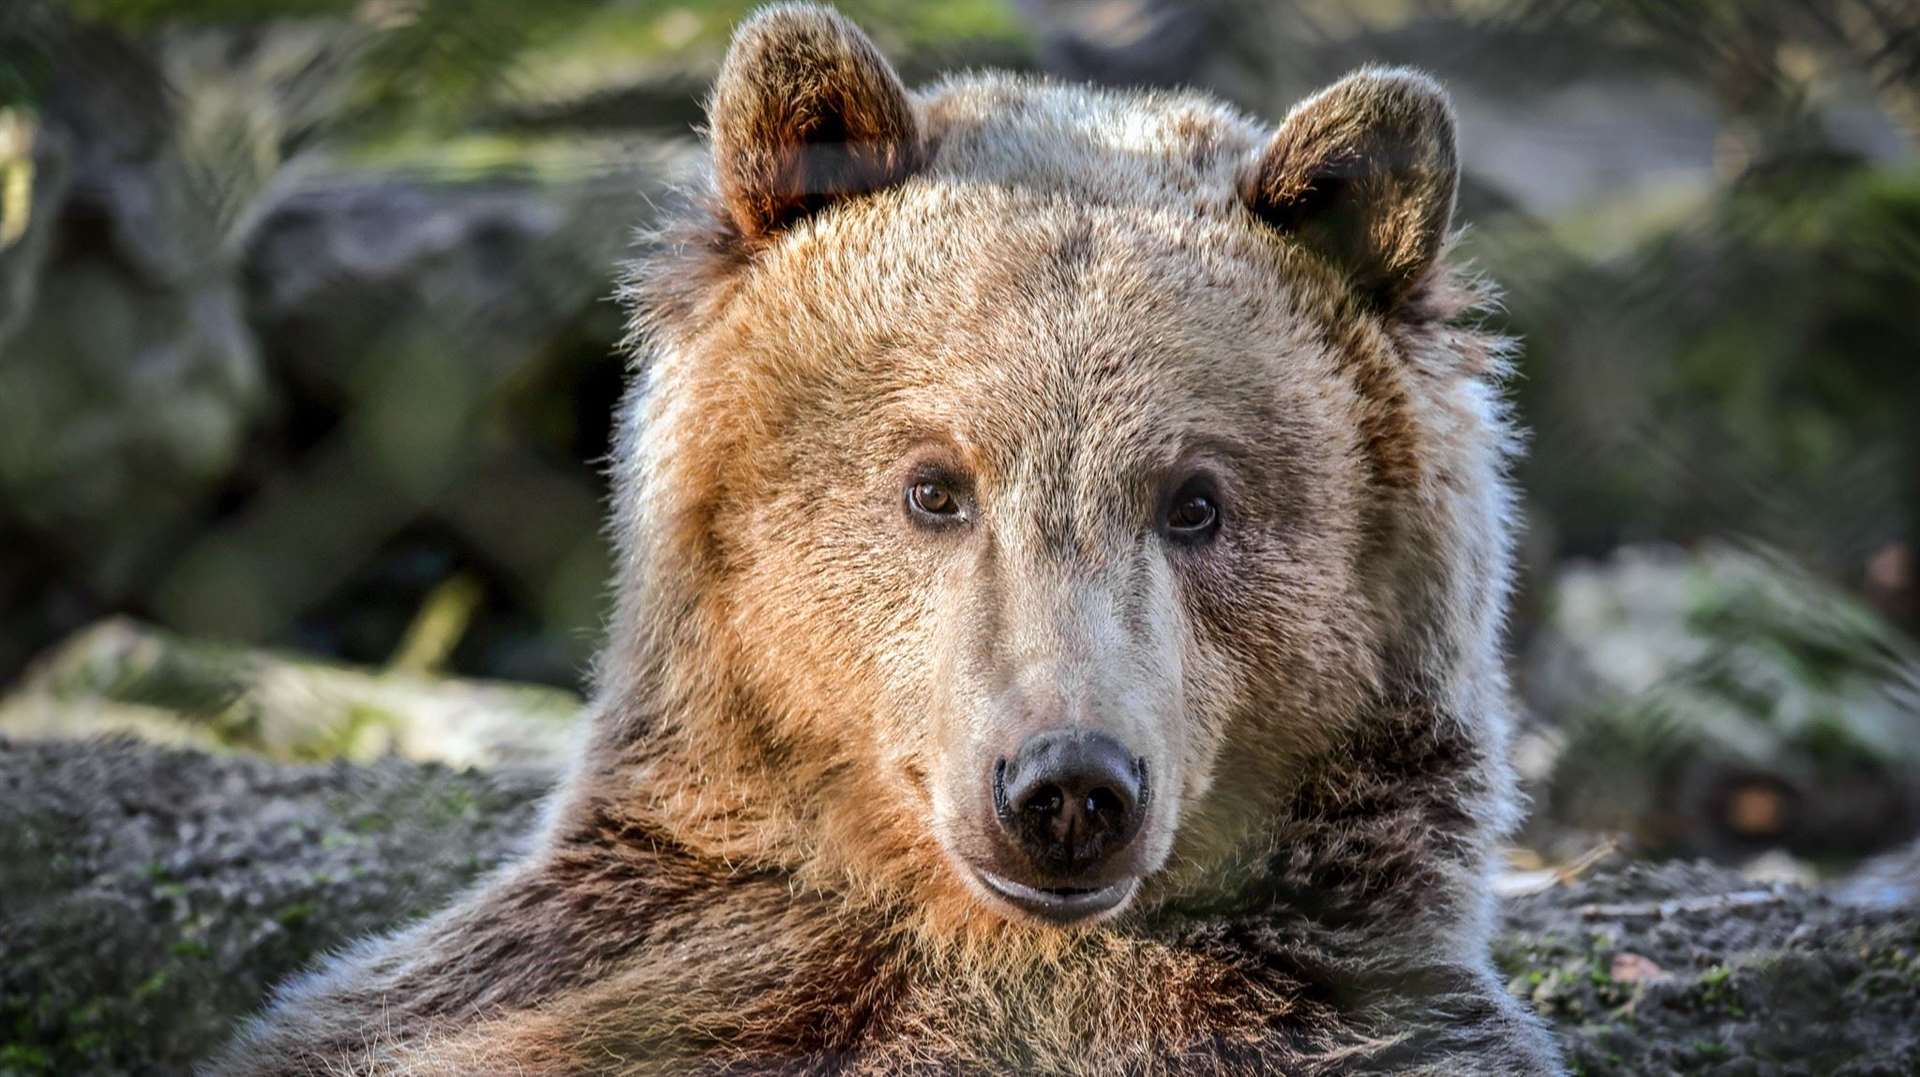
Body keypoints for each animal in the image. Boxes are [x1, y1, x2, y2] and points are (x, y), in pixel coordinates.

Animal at [210, 4, 1559, 1067]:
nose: (1067, 787)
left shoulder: (1344, 1017)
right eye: (934, 487)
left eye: (1195, 501)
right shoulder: (605, 974)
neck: (987, 941)